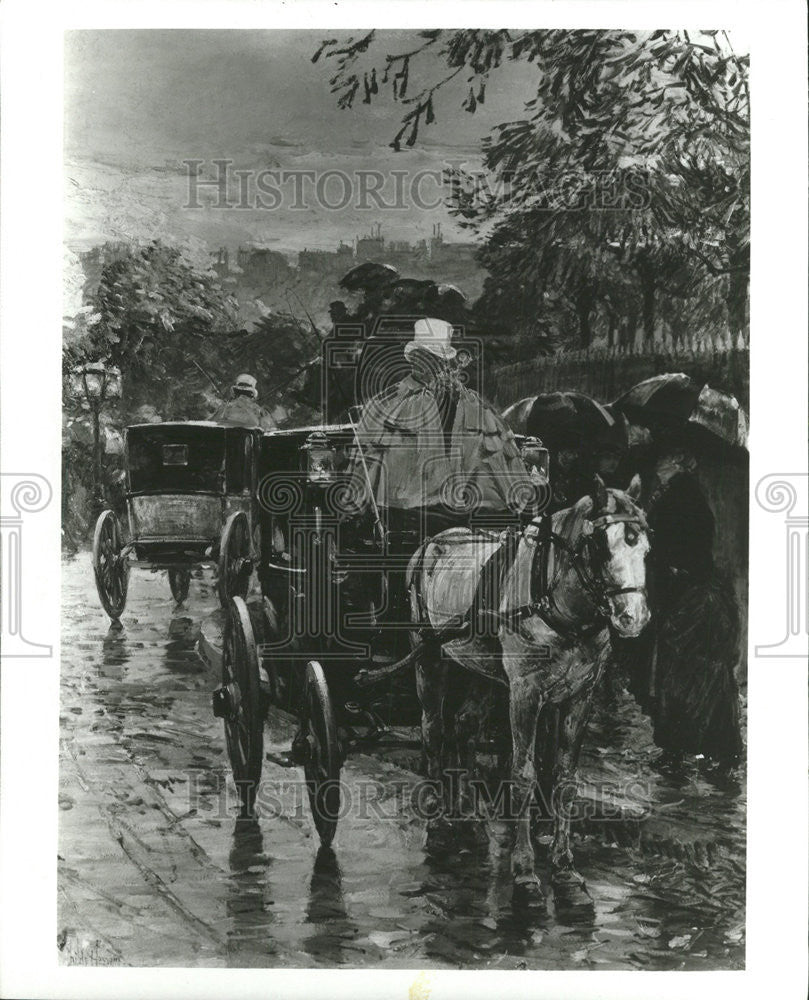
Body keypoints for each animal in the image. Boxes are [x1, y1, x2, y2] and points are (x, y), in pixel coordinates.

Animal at [404, 476, 652, 908]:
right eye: (599, 546)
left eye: (645, 547)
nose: (631, 617)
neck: (558, 602)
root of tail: (433, 542)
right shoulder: (525, 694)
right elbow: (522, 776)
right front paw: (524, 872)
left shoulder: (579, 696)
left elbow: (563, 778)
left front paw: (565, 869)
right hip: (429, 658)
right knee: (433, 728)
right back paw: (438, 815)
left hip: (483, 671)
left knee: (464, 726)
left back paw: (468, 811)